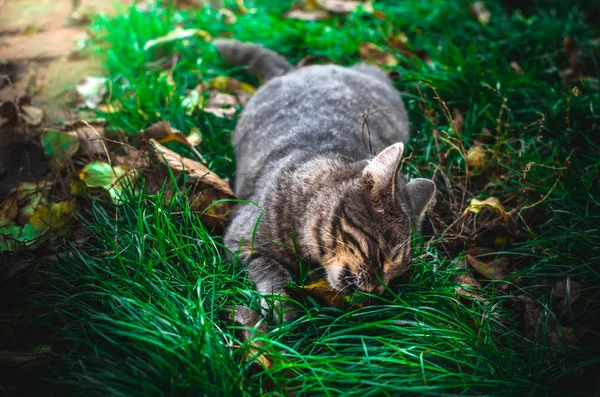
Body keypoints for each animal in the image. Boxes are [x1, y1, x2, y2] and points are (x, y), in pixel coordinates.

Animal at [216, 39, 436, 318]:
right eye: (382, 255)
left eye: (397, 273)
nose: (379, 291)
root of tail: (299, 69)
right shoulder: (240, 240)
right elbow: (268, 267)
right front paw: (285, 306)